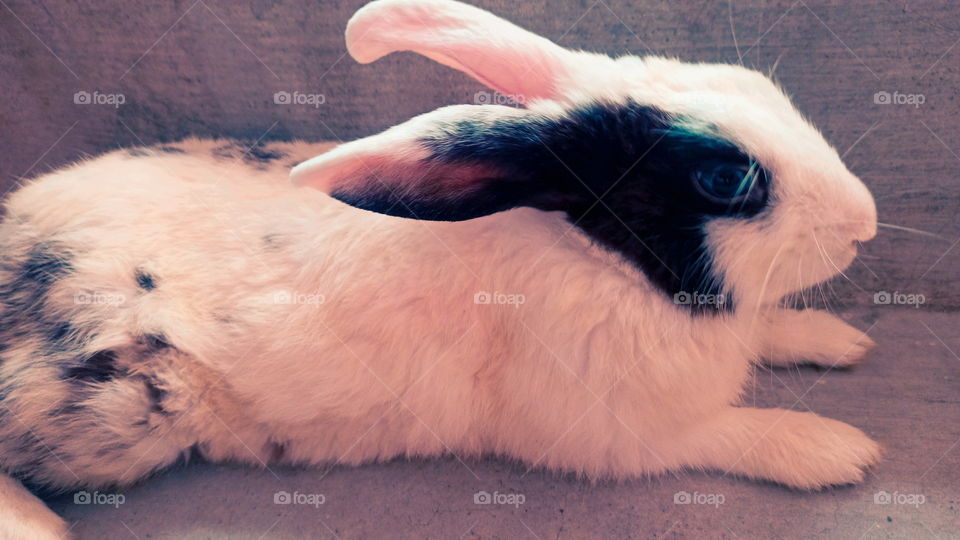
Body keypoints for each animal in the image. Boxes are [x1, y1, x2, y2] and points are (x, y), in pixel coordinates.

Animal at [0, 0, 881, 537]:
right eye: (726, 181)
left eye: (755, 84)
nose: (864, 226)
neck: (610, 264)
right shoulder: (623, 432)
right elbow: (731, 433)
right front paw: (837, 450)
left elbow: (772, 330)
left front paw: (838, 342)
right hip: (108, 412)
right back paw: (40, 525)